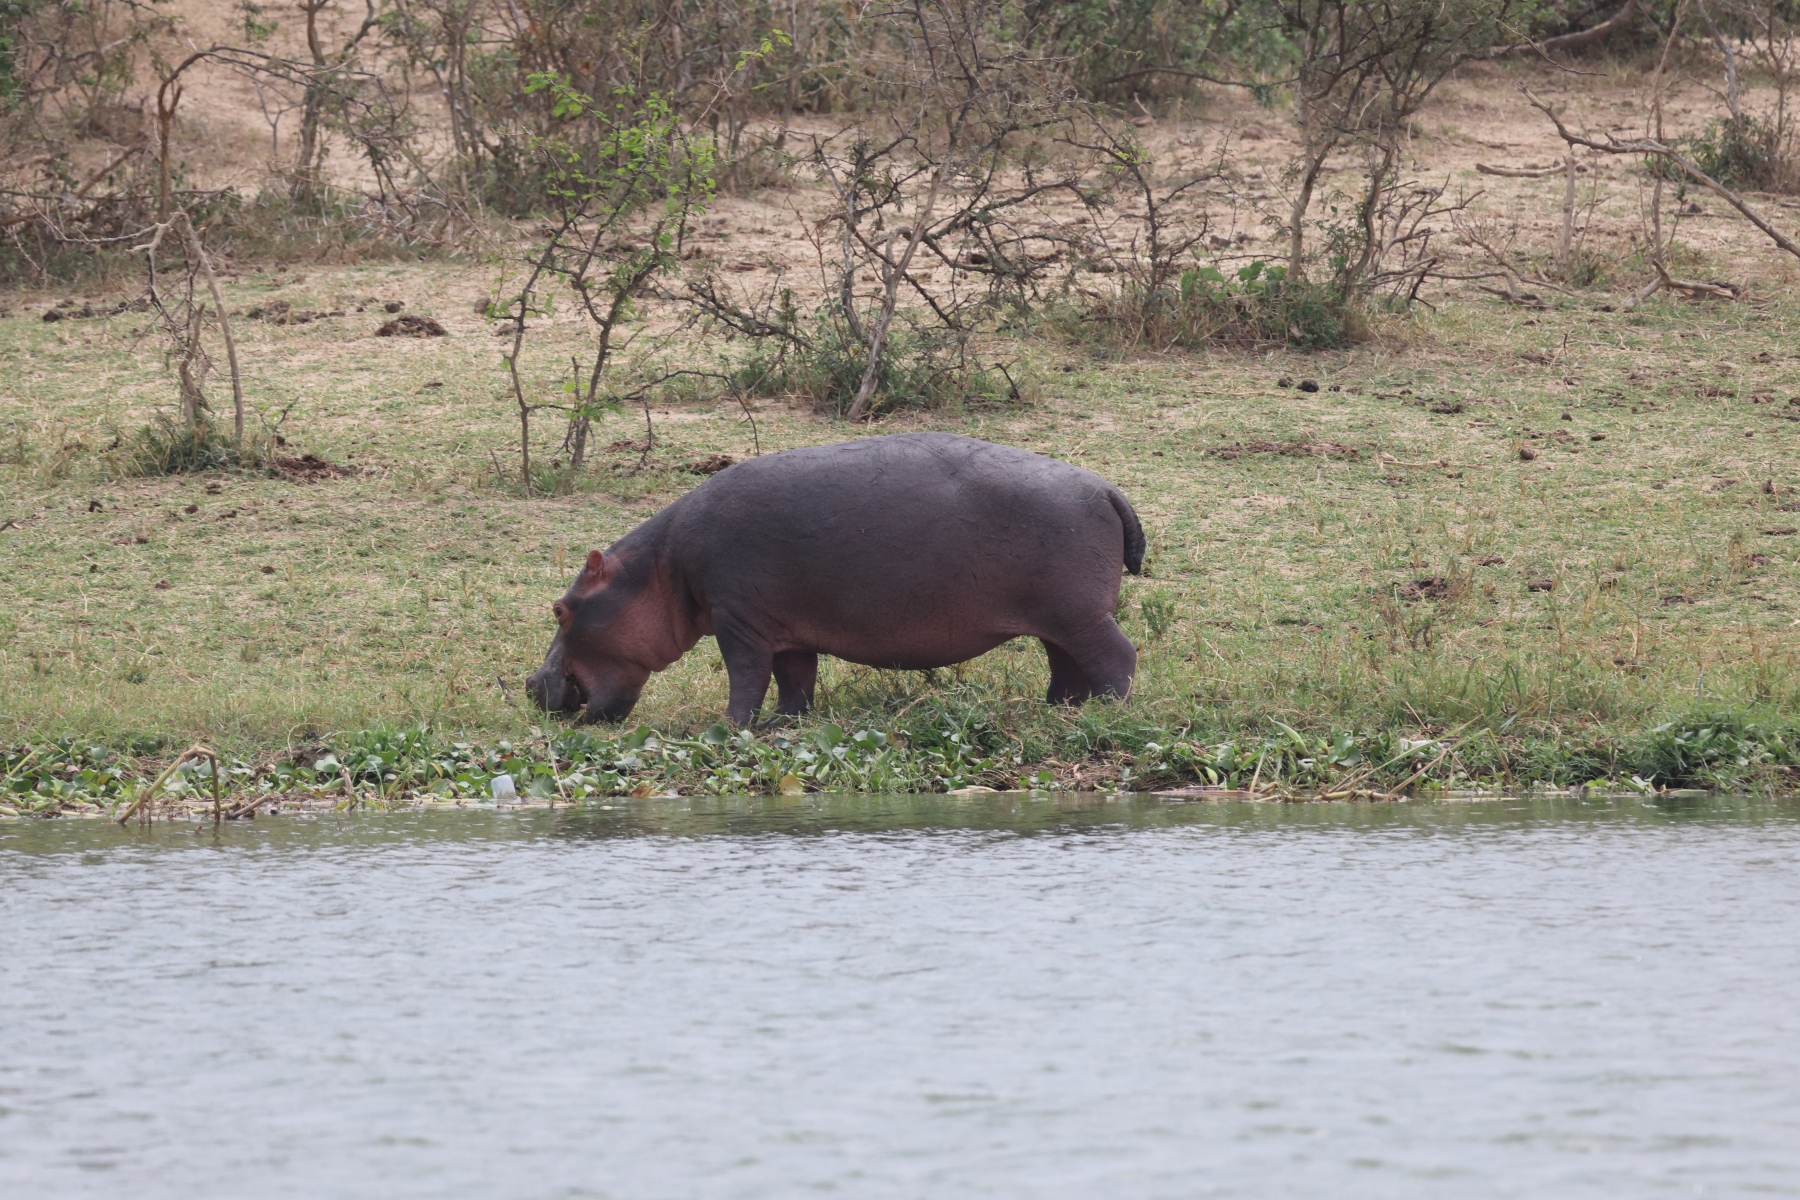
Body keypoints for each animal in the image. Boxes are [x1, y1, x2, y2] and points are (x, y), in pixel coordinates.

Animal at [526, 432, 1144, 725]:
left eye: (560, 608)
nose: (532, 683)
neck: (660, 568)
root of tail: (1106, 487)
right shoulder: (782, 626)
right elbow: (794, 680)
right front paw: (780, 725)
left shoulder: (737, 618)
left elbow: (746, 676)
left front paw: (728, 727)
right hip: (1057, 618)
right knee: (1066, 665)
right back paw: (1057, 710)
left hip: (1078, 613)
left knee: (1115, 656)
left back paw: (1107, 712)